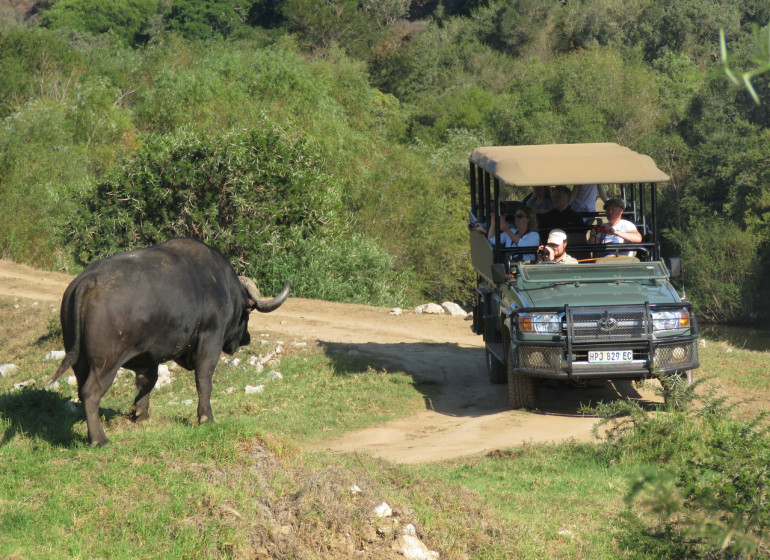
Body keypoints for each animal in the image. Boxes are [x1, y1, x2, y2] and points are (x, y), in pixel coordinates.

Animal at [47, 238, 292, 444]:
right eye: (247, 312)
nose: (246, 339)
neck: (222, 288)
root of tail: (89, 281)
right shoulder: (210, 342)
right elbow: (204, 381)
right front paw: (206, 418)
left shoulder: (148, 356)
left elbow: (148, 381)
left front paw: (140, 413)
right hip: (105, 364)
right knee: (91, 393)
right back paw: (99, 439)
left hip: (79, 361)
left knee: (82, 389)